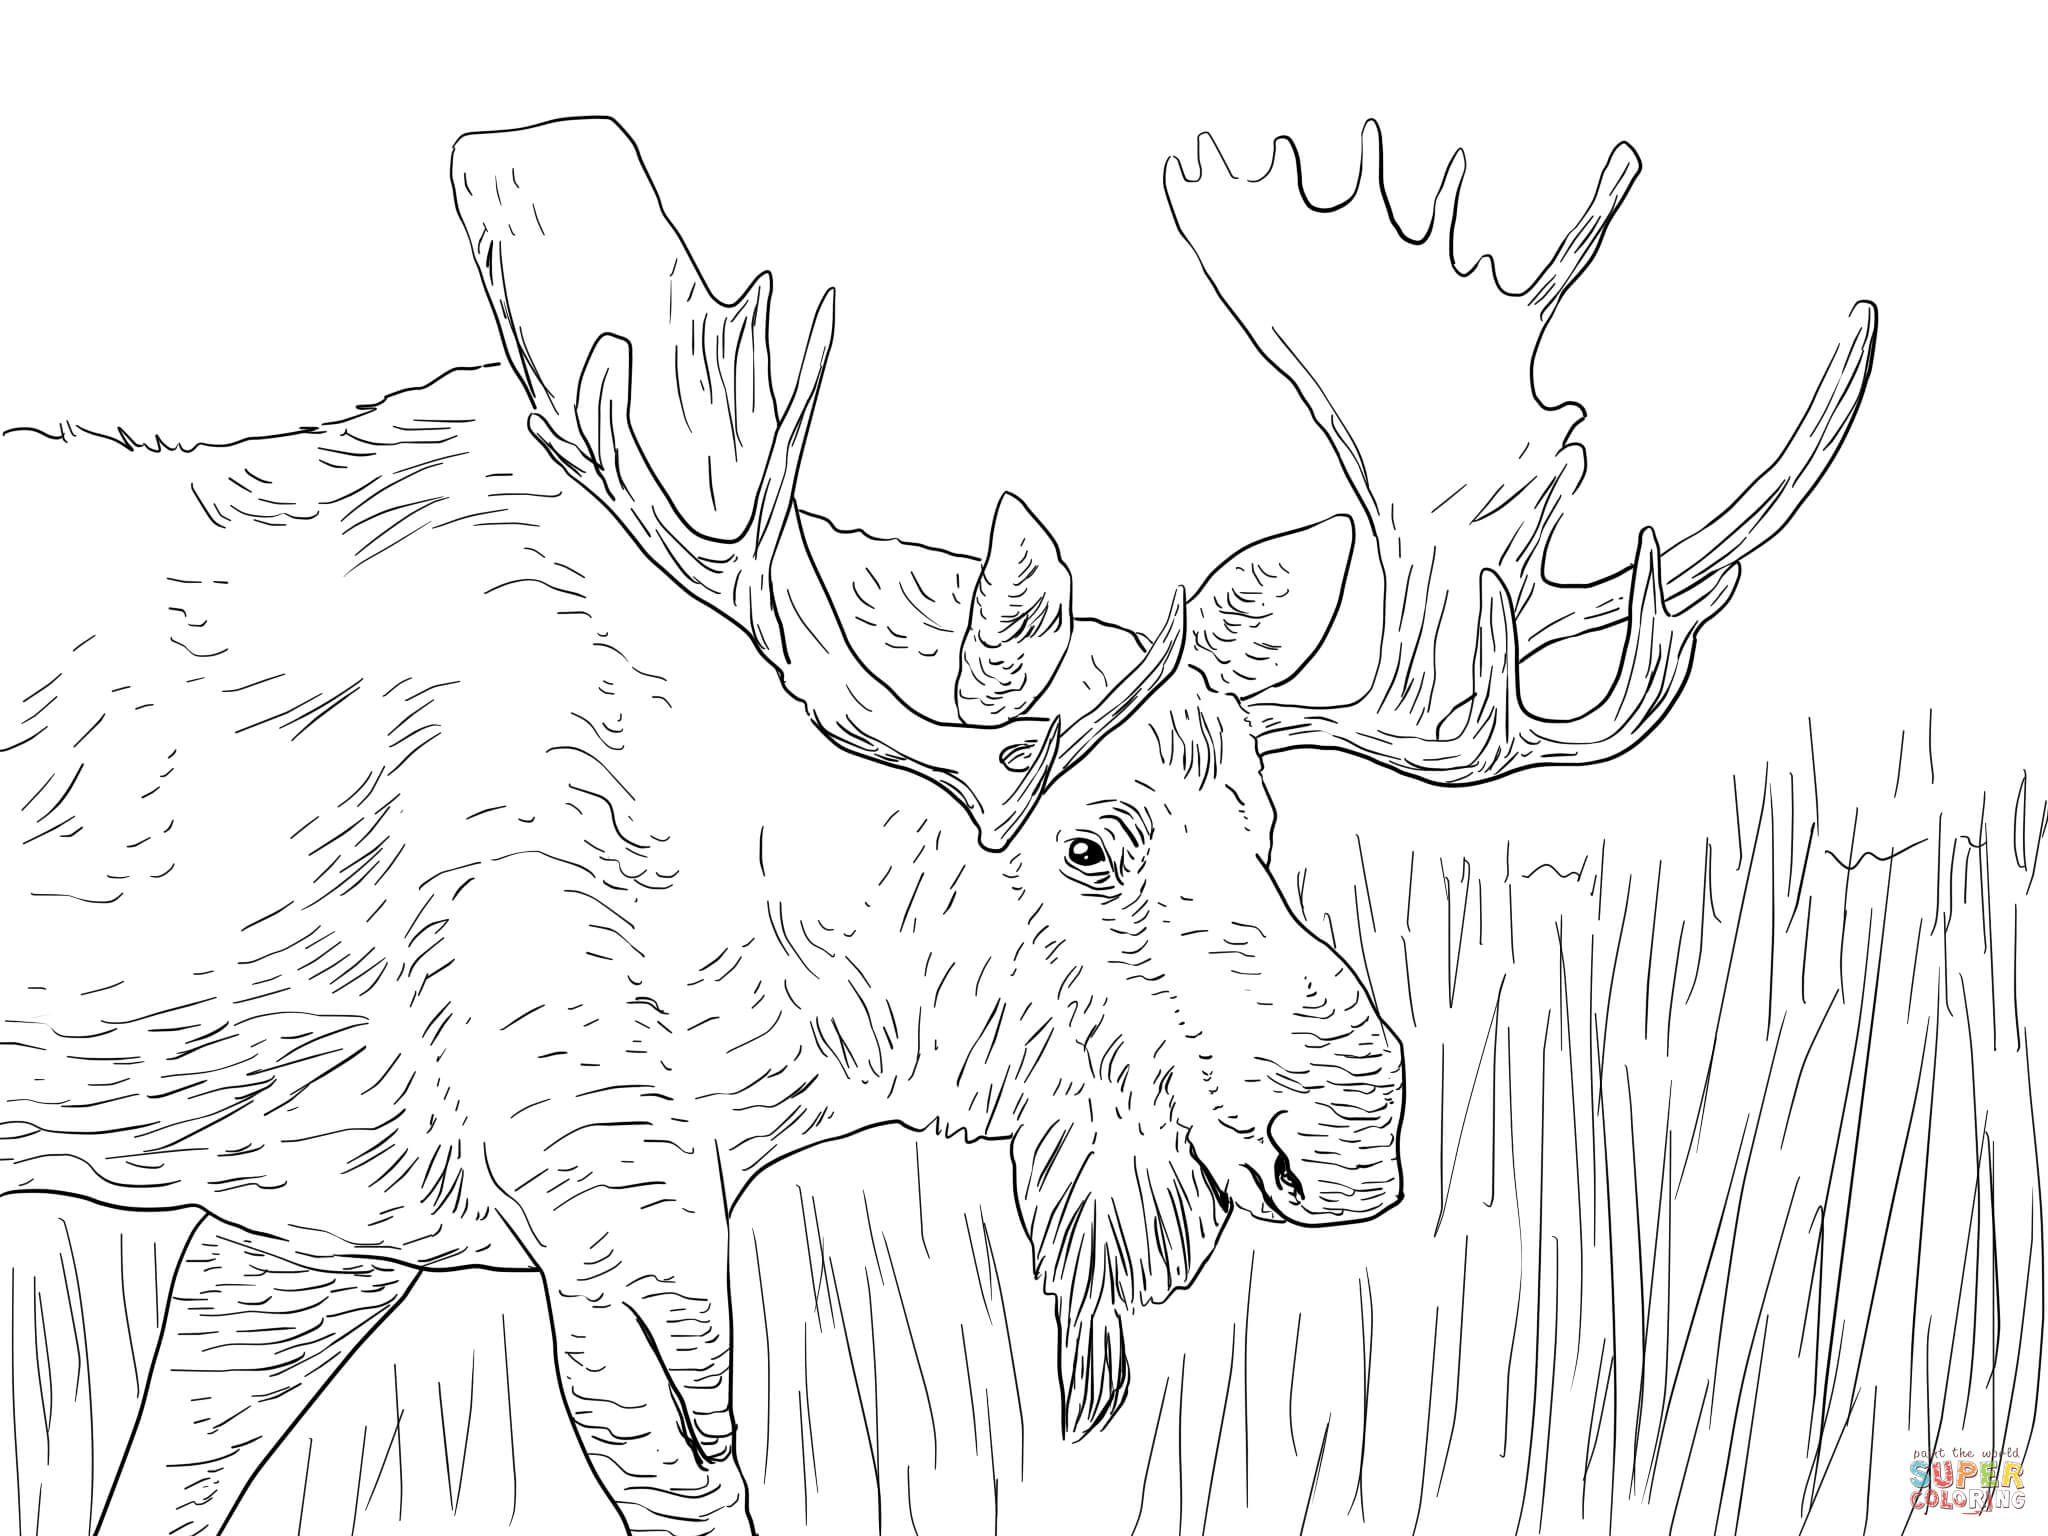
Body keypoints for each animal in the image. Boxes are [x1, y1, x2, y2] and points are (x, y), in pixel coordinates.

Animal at [0, 116, 1872, 1535]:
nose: (1347, 1128)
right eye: (1088, 844)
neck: (789, 996)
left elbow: (162, 1479)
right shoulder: (615, 1225)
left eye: (1264, 818)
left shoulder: (310, 1226)